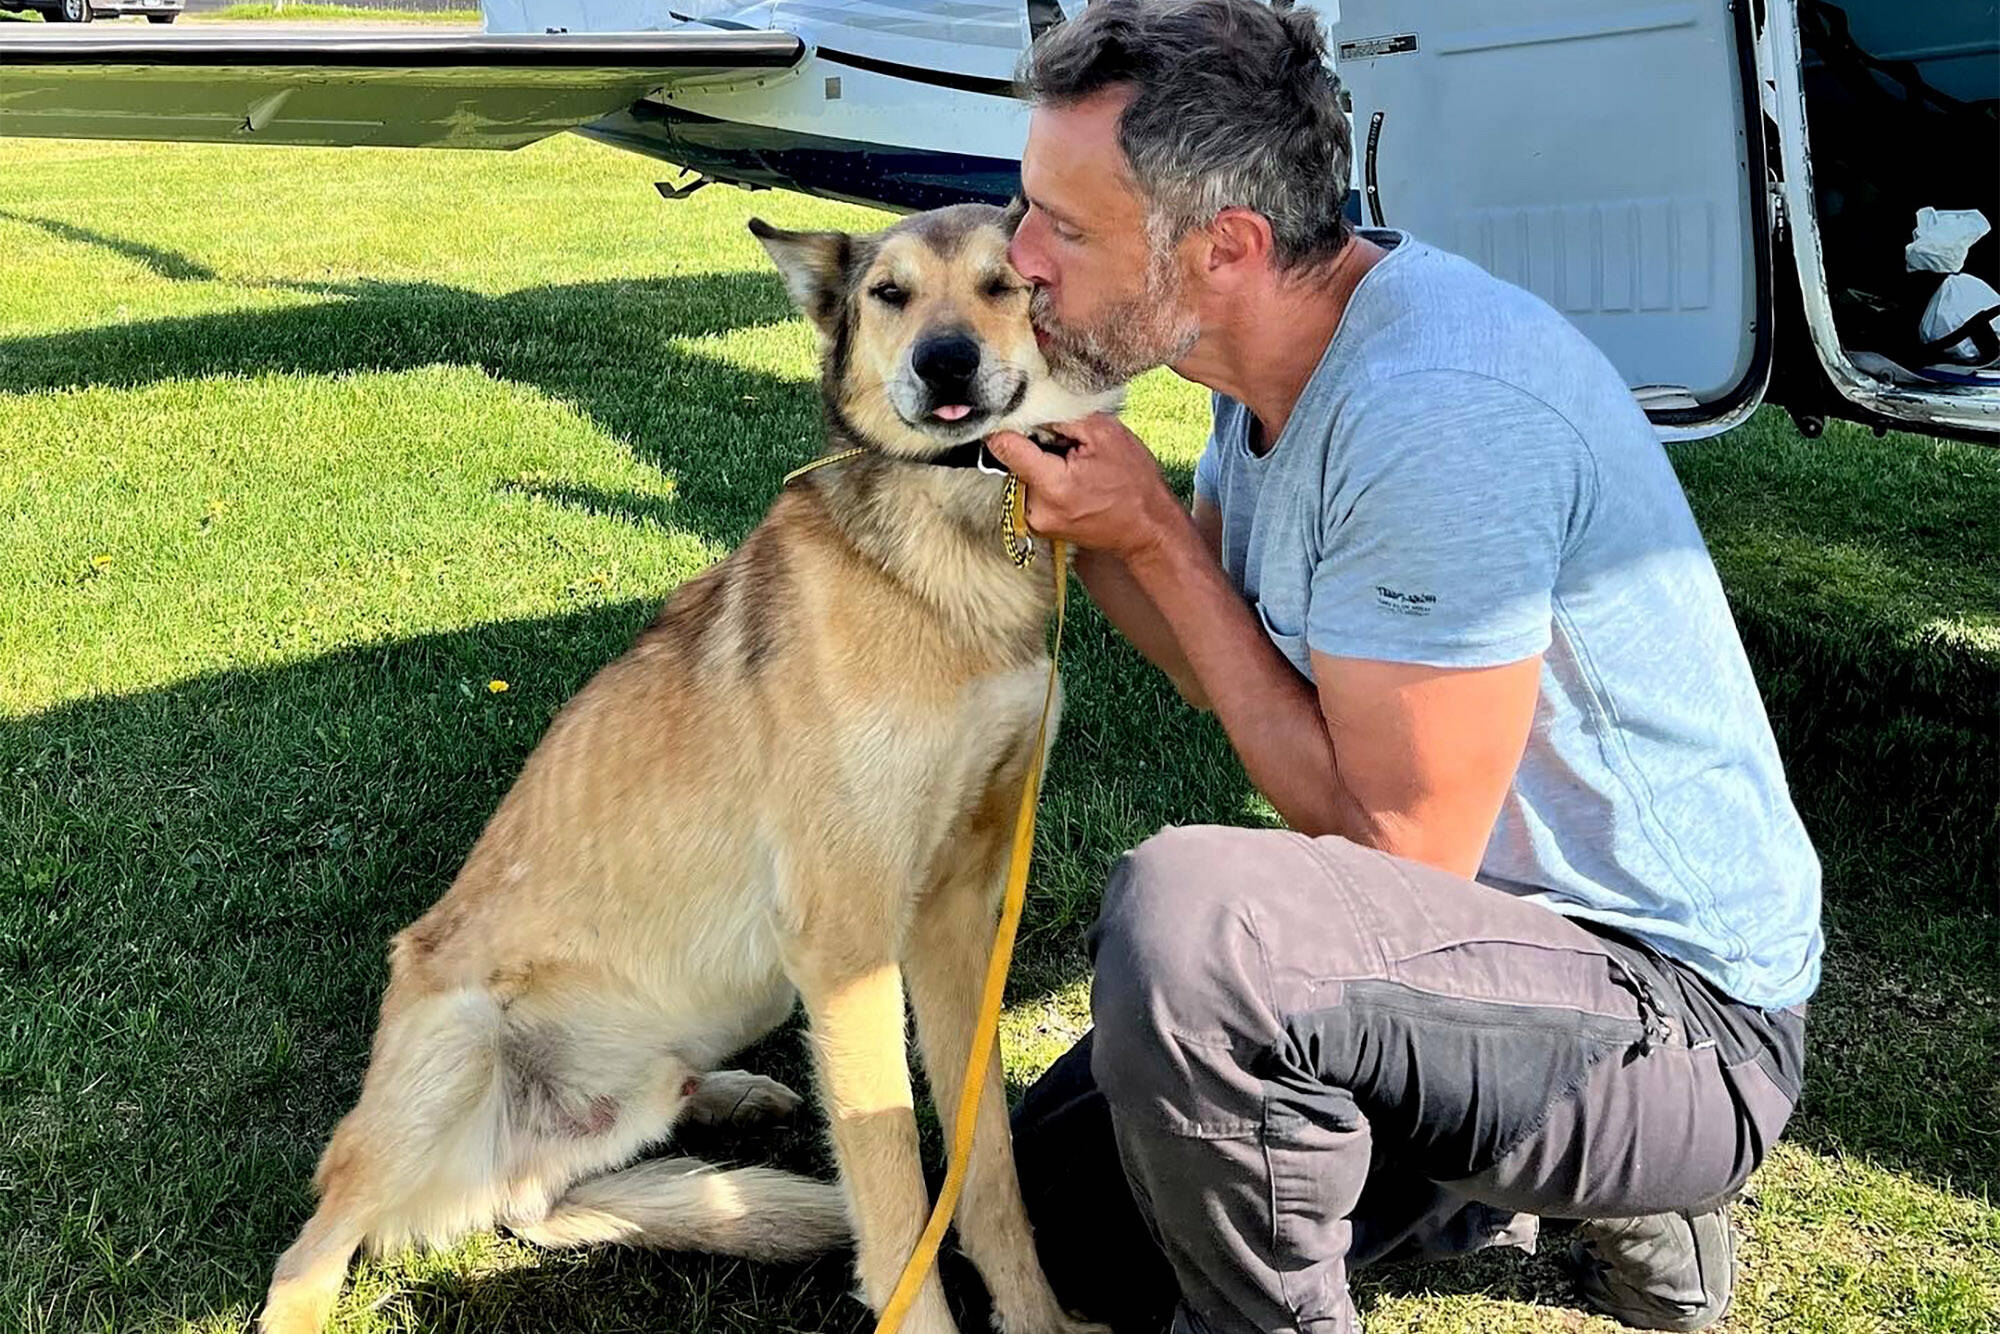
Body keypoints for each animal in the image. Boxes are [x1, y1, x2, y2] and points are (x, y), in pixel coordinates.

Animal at [254, 198, 1128, 1334]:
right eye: (889, 294)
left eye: (1003, 284)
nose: (944, 361)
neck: (961, 548)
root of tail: (480, 1186)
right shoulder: (847, 936)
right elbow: (897, 1201)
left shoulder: (955, 906)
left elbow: (988, 1170)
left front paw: (1038, 1320)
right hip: (452, 1048)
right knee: (310, 1250)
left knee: (576, 1177)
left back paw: (728, 1100)